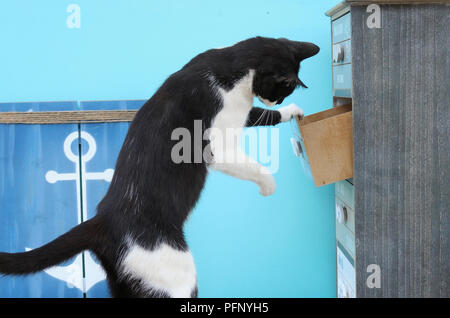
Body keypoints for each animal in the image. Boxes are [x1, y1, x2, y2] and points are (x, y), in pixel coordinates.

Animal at [0, 37, 318, 298]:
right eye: (283, 87)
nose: (278, 100)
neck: (228, 65)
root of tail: (103, 219)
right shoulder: (218, 145)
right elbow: (253, 163)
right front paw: (268, 186)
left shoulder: (242, 111)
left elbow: (259, 115)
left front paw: (290, 112)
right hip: (175, 275)